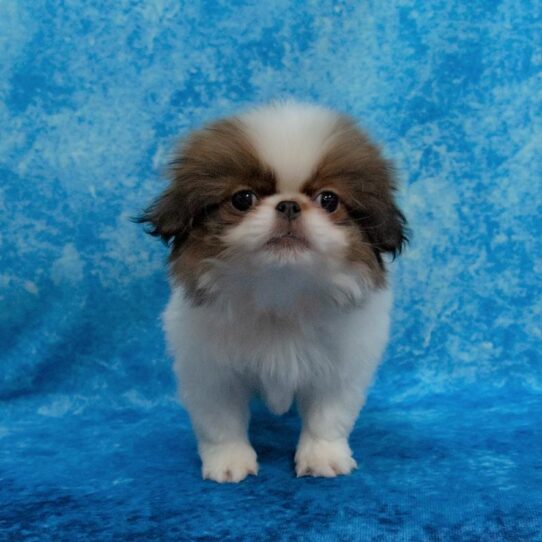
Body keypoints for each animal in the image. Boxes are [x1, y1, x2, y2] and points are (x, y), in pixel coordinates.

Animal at [139, 102, 408, 484]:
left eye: (329, 200)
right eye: (242, 199)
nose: (289, 205)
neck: (280, 292)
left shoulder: (339, 368)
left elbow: (328, 418)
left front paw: (323, 457)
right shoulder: (210, 371)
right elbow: (220, 422)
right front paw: (229, 462)